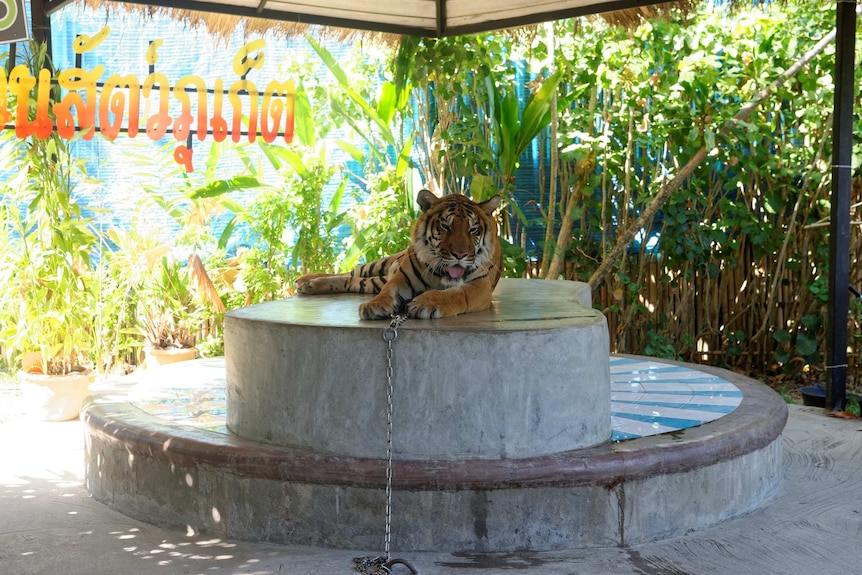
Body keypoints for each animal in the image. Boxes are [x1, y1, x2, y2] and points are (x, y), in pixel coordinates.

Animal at [296, 189, 502, 320]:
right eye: (445, 226)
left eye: (473, 229)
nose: (460, 254)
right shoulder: (402, 277)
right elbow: (388, 290)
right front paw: (374, 305)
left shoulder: (479, 286)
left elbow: (455, 295)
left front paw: (425, 303)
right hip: (382, 264)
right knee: (349, 273)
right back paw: (306, 281)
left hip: (375, 280)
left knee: (352, 281)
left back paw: (308, 285)